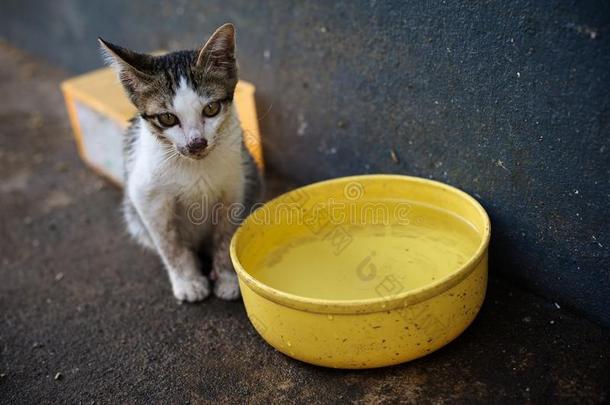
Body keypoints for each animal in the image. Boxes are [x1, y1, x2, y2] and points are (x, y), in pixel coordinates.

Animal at [98, 22, 260, 300]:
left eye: (211, 109)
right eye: (167, 118)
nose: (197, 143)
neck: (194, 166)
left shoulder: (234, 186)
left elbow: (226, 235)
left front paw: (228, 278)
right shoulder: (146, 197)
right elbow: (170, 244)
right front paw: (188, 281)